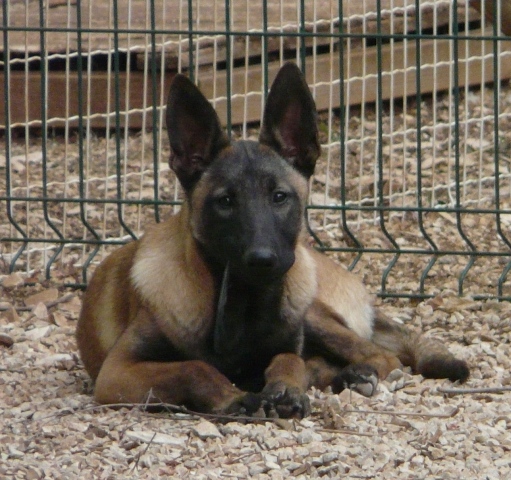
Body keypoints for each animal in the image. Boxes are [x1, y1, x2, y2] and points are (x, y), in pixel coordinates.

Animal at [77, 62, 469, 418]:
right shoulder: (117, 372)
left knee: (379, 356)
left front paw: (284, 388)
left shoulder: (287, 339)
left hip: (311, 310)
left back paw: (352, 374)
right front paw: (232, 396)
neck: (242, 308)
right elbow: (193, 367)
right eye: (225, 201)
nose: (263, 260)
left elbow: (287, 359)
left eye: (279, 197)